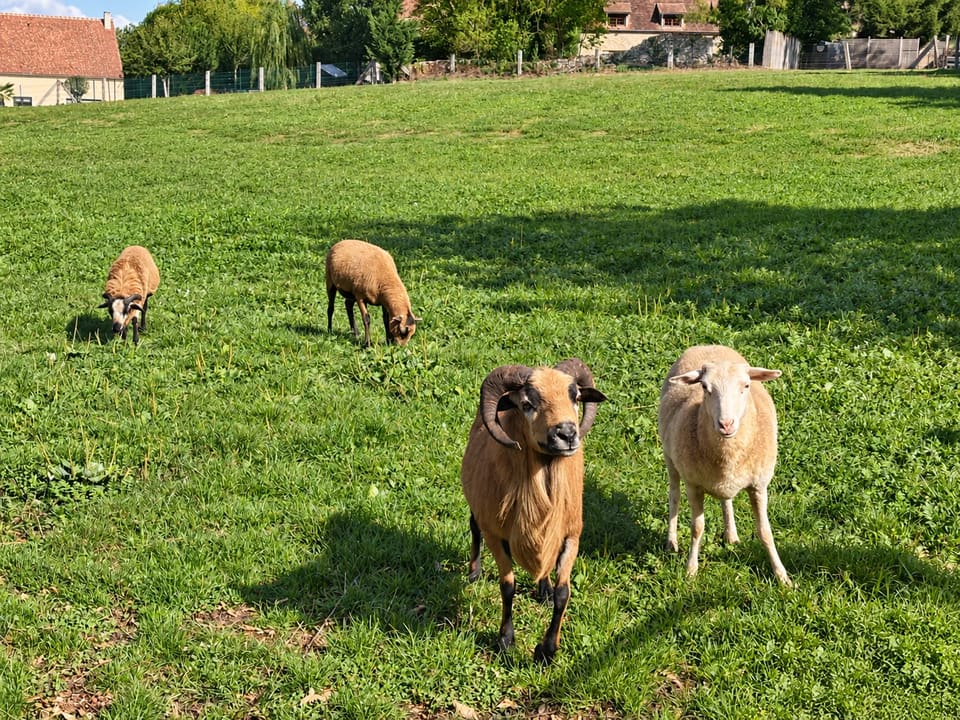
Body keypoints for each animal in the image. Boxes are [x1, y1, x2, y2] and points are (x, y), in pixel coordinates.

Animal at [461, 358, 607, 664]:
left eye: (575, 397)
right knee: (473, 526)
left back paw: (544, 588)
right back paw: (474, 572)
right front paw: (505, 641)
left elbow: (564, 593)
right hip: (477, 503)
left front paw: (547, 650)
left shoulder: (571, 535)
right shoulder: (496, 535)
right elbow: (508, 586)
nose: (567, 433)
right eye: (527, 404)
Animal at [658, 344, 791, 586]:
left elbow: (765, 531)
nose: (726, 424)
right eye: (704, 386)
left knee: (725, 499)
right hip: (670, 458)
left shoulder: (759, 485)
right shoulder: (693, 485)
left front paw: (782, 576)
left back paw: (731, 536)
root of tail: (707, 345)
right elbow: (697, 528)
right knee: (674, 495)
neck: (728, 455)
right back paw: (671, 542)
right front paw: (691, 569)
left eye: (746, 385)